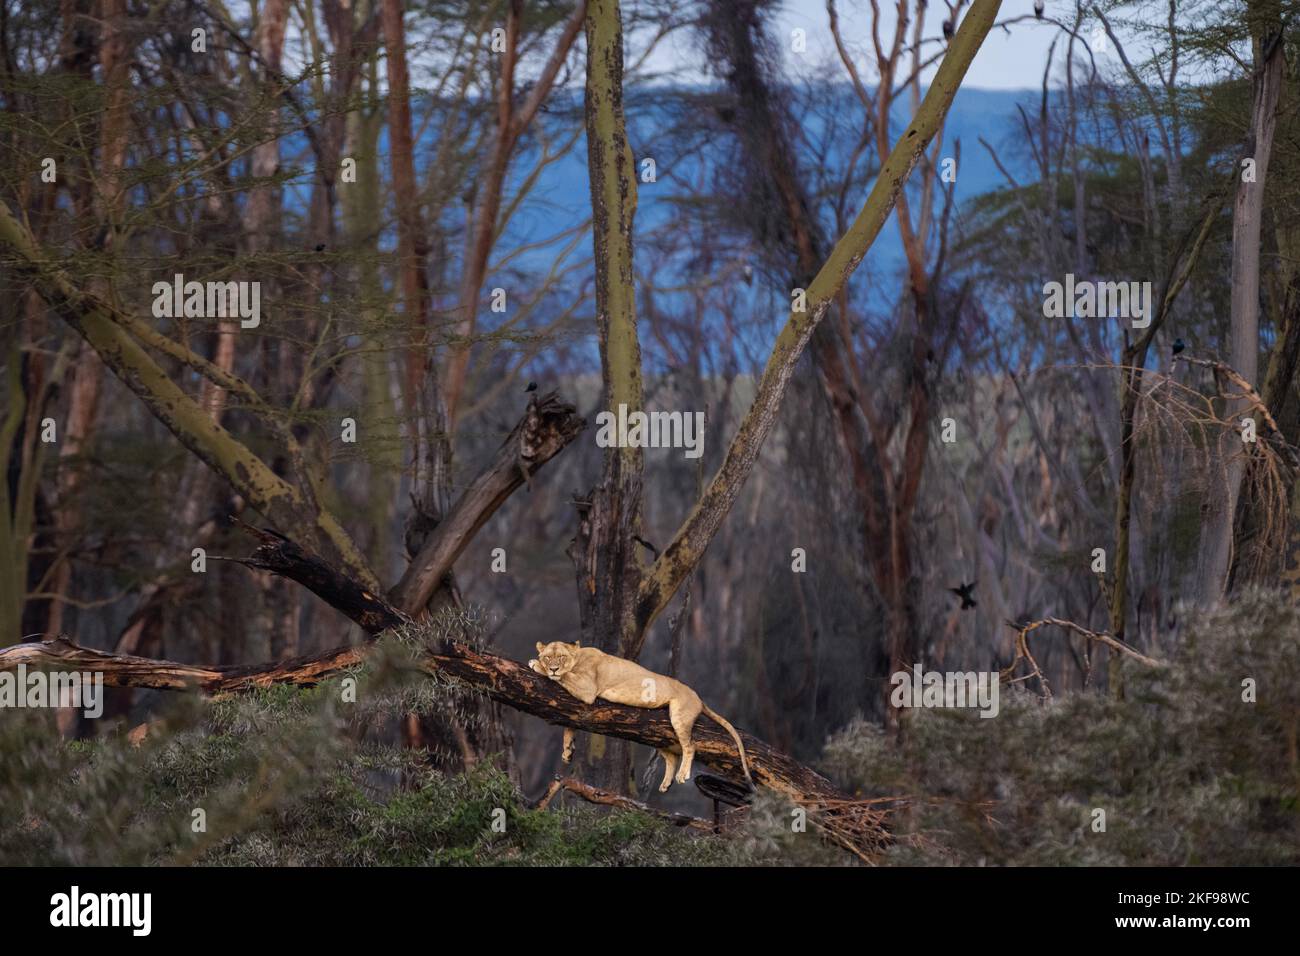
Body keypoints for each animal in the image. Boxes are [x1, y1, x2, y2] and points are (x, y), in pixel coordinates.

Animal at [529, 641, 752, 792]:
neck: (578, 657)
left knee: (690, 746)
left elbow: (564, 676)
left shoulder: (587, 690)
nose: (552, 667)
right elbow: (570, 725)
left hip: (679, 717)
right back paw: (665, 784)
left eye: (561, 657)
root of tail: (698, 697)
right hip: (658, 732)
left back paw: (682, 775)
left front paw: (537, 666)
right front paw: (567, 751)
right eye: (548, 656)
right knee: (672, 755)